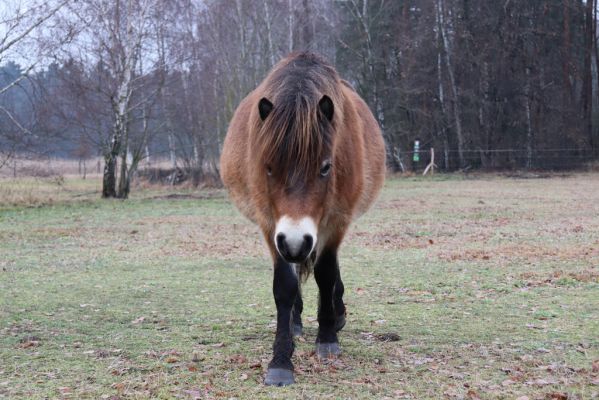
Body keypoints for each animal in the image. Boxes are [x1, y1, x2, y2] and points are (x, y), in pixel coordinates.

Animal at [219, 51, 384, 386]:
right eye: (268, 168)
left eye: (325, 167)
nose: (295, 243)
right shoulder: (271, 226)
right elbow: (285, 286)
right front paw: (281, 361)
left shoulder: (335, 221)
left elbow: (326, 274)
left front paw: (327, 337)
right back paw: (296, 322)